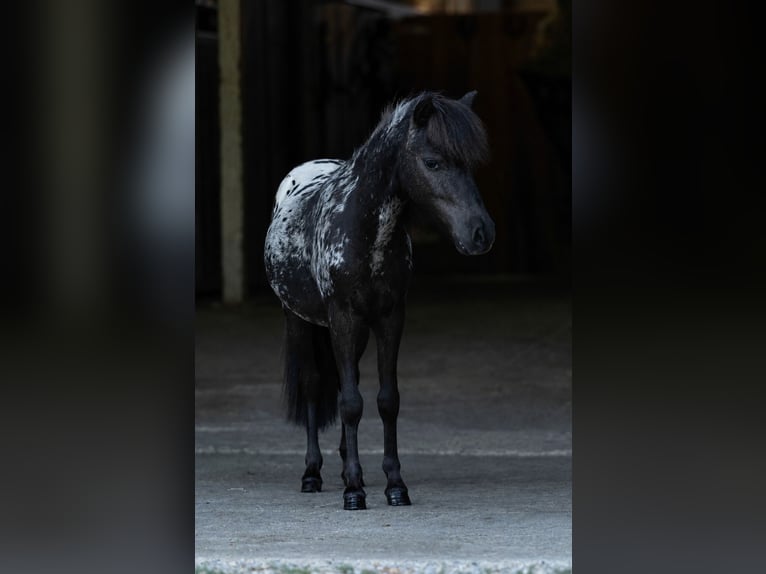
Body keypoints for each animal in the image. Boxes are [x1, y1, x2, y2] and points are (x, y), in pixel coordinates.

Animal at [264, 90, 495, 510]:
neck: (363, 230)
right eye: (432, 161)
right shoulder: (343, 317)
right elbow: (351, 403)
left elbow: (386, 400)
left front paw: (394, 485)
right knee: (312, 385)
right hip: (299, 319)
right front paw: (354, 492)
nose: (480, 233)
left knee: (345, 382)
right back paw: (312, 474)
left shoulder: (390, 317)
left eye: (469, 163)